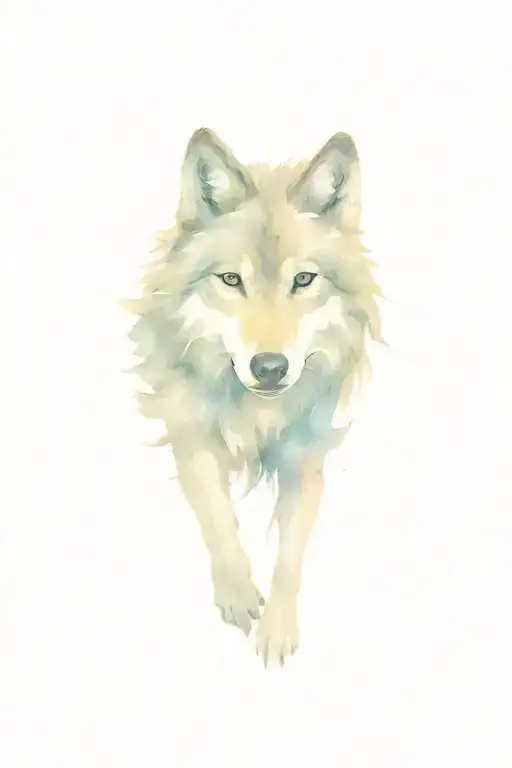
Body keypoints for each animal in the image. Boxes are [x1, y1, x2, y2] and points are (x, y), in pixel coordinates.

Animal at [123, 128, 383, 666]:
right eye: (230, 280)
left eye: (303, 280)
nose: (269, 368)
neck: (258, 413)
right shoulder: (191, 432)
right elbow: (218, 517)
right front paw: (239, 596)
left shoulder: (306, 454)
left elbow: (289, 555)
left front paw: (277, 631)